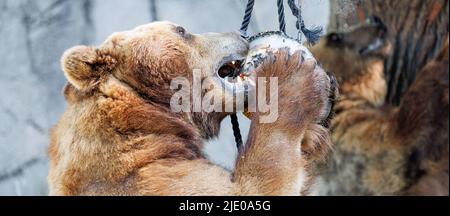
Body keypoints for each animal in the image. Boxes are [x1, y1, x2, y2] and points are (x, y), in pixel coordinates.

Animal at [48, 21, 338, 196]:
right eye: (181, 30)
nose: (240, 34)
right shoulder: (150, 179)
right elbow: (253, 186)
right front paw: (290, 74)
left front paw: (313, 133)